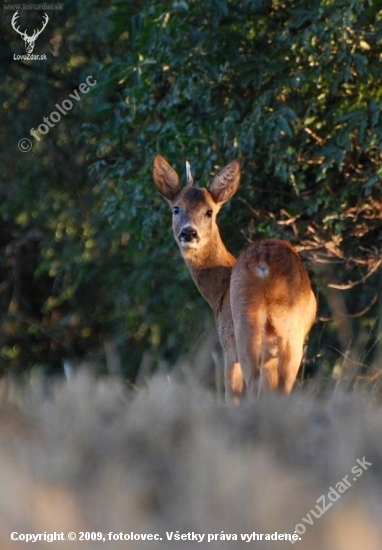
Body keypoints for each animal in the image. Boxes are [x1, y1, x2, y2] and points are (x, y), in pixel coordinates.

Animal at [152, 154, 316, 402]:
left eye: (209, 211)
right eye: (176, 209)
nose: (188, 233)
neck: (219, 290)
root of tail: (264, 263)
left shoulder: (227, 343)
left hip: (244, 324)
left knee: (254, 384)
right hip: (290, 331)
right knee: (280, 387)